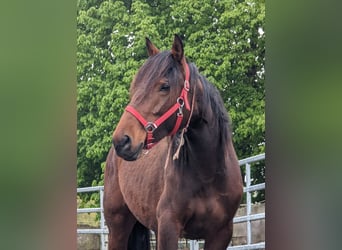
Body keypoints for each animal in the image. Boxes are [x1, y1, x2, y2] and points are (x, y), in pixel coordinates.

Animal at [103, 35, 243, 250]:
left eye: (164, 86)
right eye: (133, 88)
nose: (122, 140)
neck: (208, 174)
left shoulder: (221, 233)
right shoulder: (168, 227)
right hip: (118, 227)